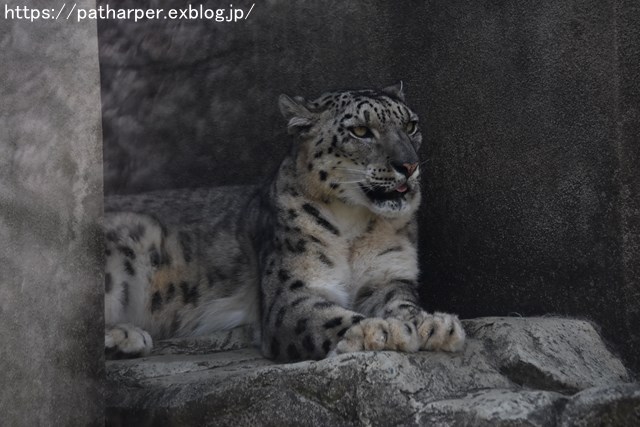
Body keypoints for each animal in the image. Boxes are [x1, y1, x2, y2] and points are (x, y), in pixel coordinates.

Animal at [104, 84, 464, 364]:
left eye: (411, 125)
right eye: (361, 130)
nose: (409, 164)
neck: (356, 227)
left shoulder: (388, 277)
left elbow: (401, 303)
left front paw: (434, 324)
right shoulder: (293, 290)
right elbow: (327, 316)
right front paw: (382, 330)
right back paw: (125, 336)